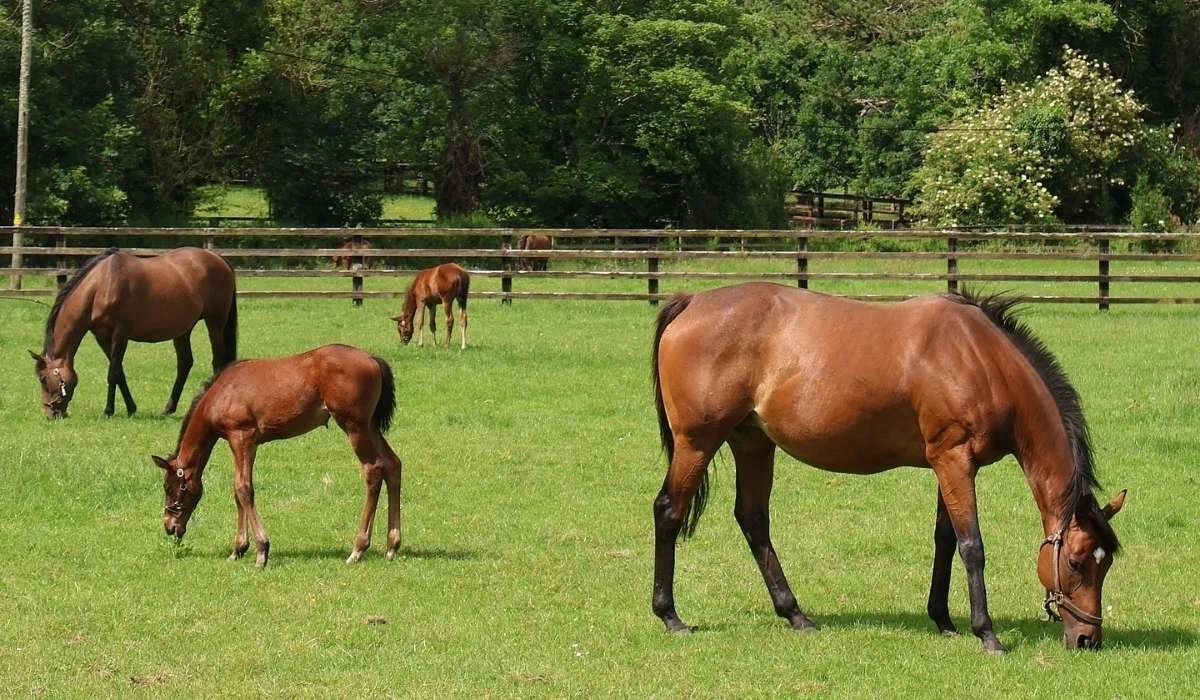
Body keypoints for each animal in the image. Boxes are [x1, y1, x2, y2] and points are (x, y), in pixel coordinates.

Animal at [30, 247, 238, 419]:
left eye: (43, 380)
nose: (51, 414)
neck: (102, 285)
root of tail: (218, 258)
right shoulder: (102, 336)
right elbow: (119, 372)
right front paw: (131, 408)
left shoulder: (120, 334)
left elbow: (113, 372)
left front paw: (109, 410)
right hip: (183, 329)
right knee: (185, 363)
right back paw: (168, 409)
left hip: (215, 322)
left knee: (217, 361)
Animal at [152, 344, 402, 568]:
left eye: (168, 488)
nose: (169, 526)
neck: (220, 393)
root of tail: (372, 359)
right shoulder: (245, 443)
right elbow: (237, 490)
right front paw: (238, 549)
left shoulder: (241, 437)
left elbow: (243, 488)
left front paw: (261, 551)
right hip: (369, 426)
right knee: (392, 464)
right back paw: (392, 546)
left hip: (354, 427)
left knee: (373, 469)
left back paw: (358, 549)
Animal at [650, 283, 1125, 653]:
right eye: (1077, 563)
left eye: (1106, 565)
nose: (1088, 639)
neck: (982, 360)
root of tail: (691, 302)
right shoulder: (954, 460)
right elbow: (972, 546)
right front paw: (987, 634)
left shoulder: (947, 464)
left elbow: (945, 541)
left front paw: (944, 620)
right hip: (697, 443)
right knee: (669, 511)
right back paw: (670, 616)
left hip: (752, 442)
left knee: (752, 519)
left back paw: (795, 614)